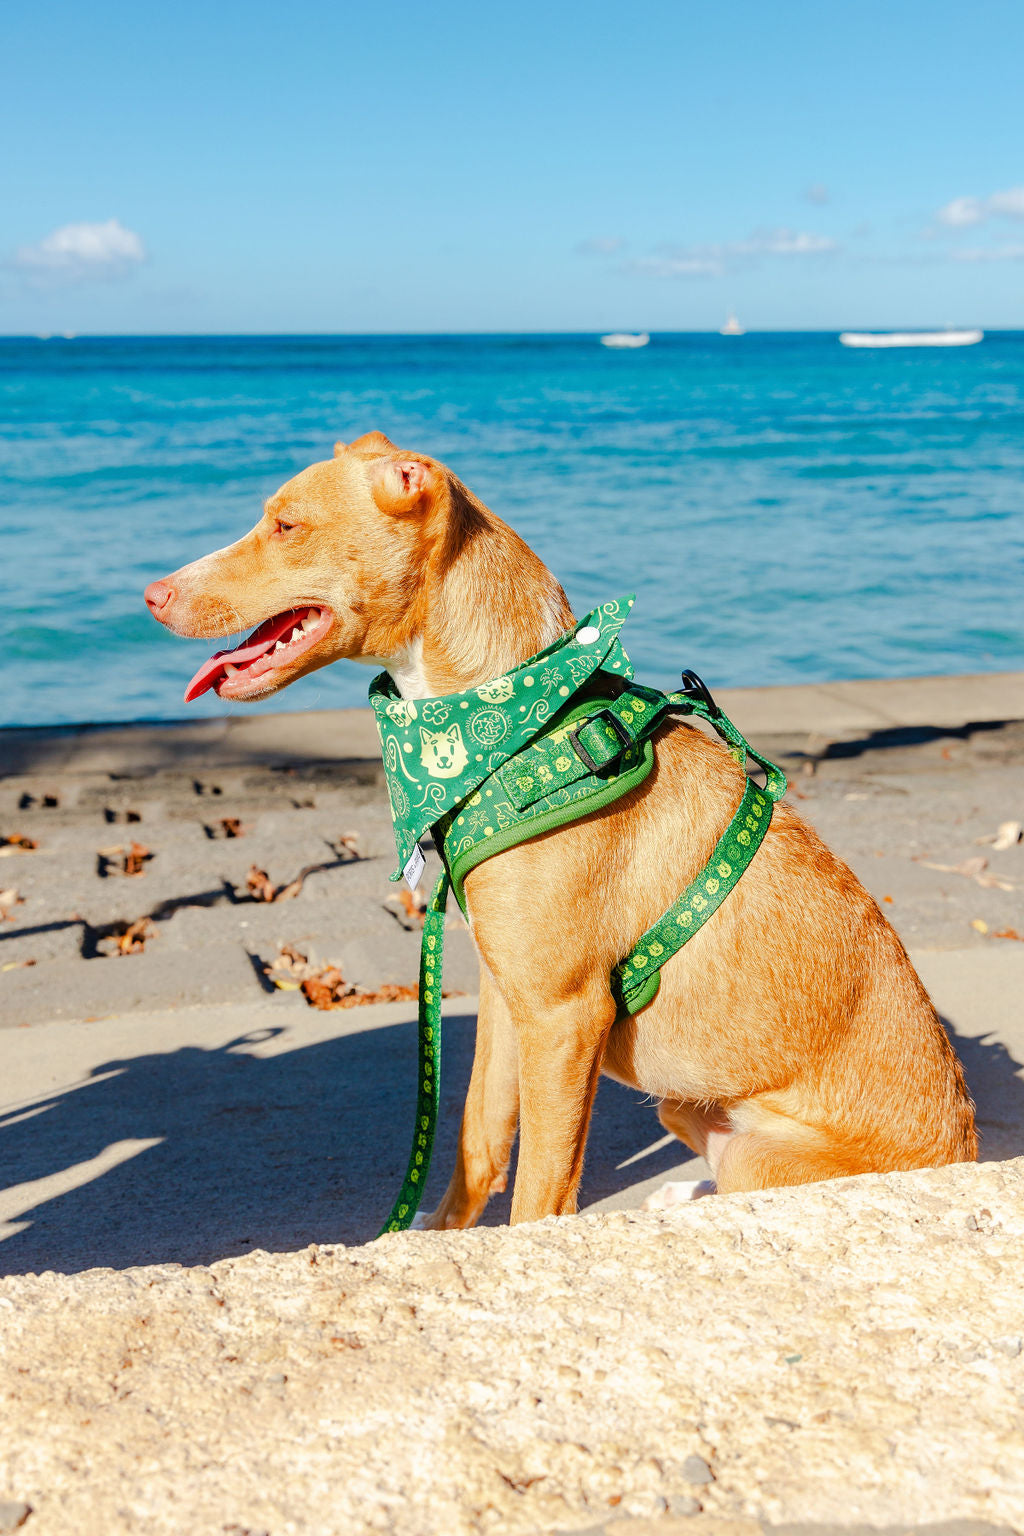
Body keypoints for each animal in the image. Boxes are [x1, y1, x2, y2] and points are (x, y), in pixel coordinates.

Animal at [144, 433, 976, 1222]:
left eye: (286, 525)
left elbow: (540, 1195)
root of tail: (967, 1153)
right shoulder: (507, 1001)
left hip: (756, 1151)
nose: (151, 594)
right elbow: (477, 1146)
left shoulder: (563, 1017)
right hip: (684, 1103)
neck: (513, 721)